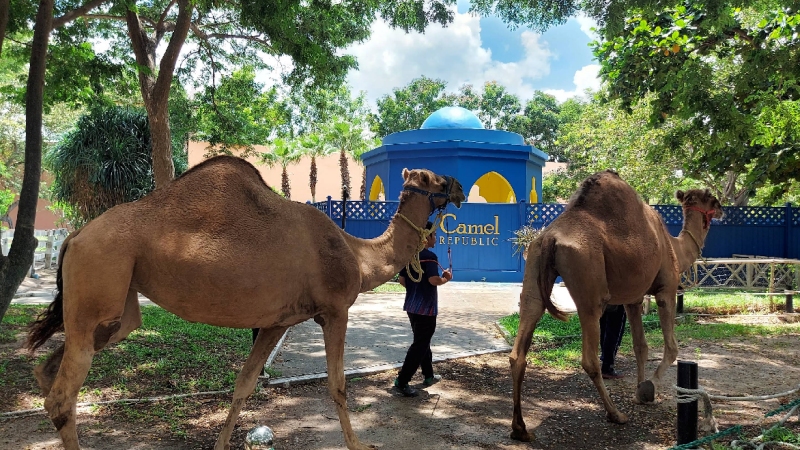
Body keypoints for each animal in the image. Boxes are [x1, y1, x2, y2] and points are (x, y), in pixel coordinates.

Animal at [26, 155, 465, 450]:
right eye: (432, 177)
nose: (459, 187)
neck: (358, 255)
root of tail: (74, 237)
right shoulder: (335, 310)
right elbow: (338, 385)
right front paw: (358, 444)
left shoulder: (278, 321)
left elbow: (243, 384)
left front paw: (221, 444)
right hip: (100, 277)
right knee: (62, 397)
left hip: (116, 312)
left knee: (48, 373)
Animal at [509, 169, 722, 441]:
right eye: (711, 199)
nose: (722, 209)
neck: (675, 248)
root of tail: (550, 237)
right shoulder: (666, 289)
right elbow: (672, 347)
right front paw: (648, 388)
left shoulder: (634, 298)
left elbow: (640, 346)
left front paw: (640, 392)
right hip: (589, 286)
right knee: (589, 358)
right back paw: (616, 414)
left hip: (534, 270)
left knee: (521, 344)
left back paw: (520, 428)